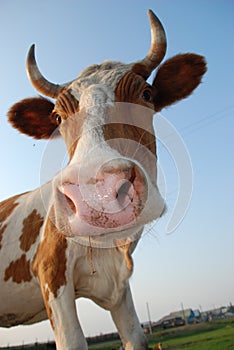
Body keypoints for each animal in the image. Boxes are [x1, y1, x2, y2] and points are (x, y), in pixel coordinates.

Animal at [0, 10, 206, 350]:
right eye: (58, 117)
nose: (98, 192)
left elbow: (135, 337)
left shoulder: (120, 291)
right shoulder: (52, 274)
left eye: (146, 94)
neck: (111, 250)